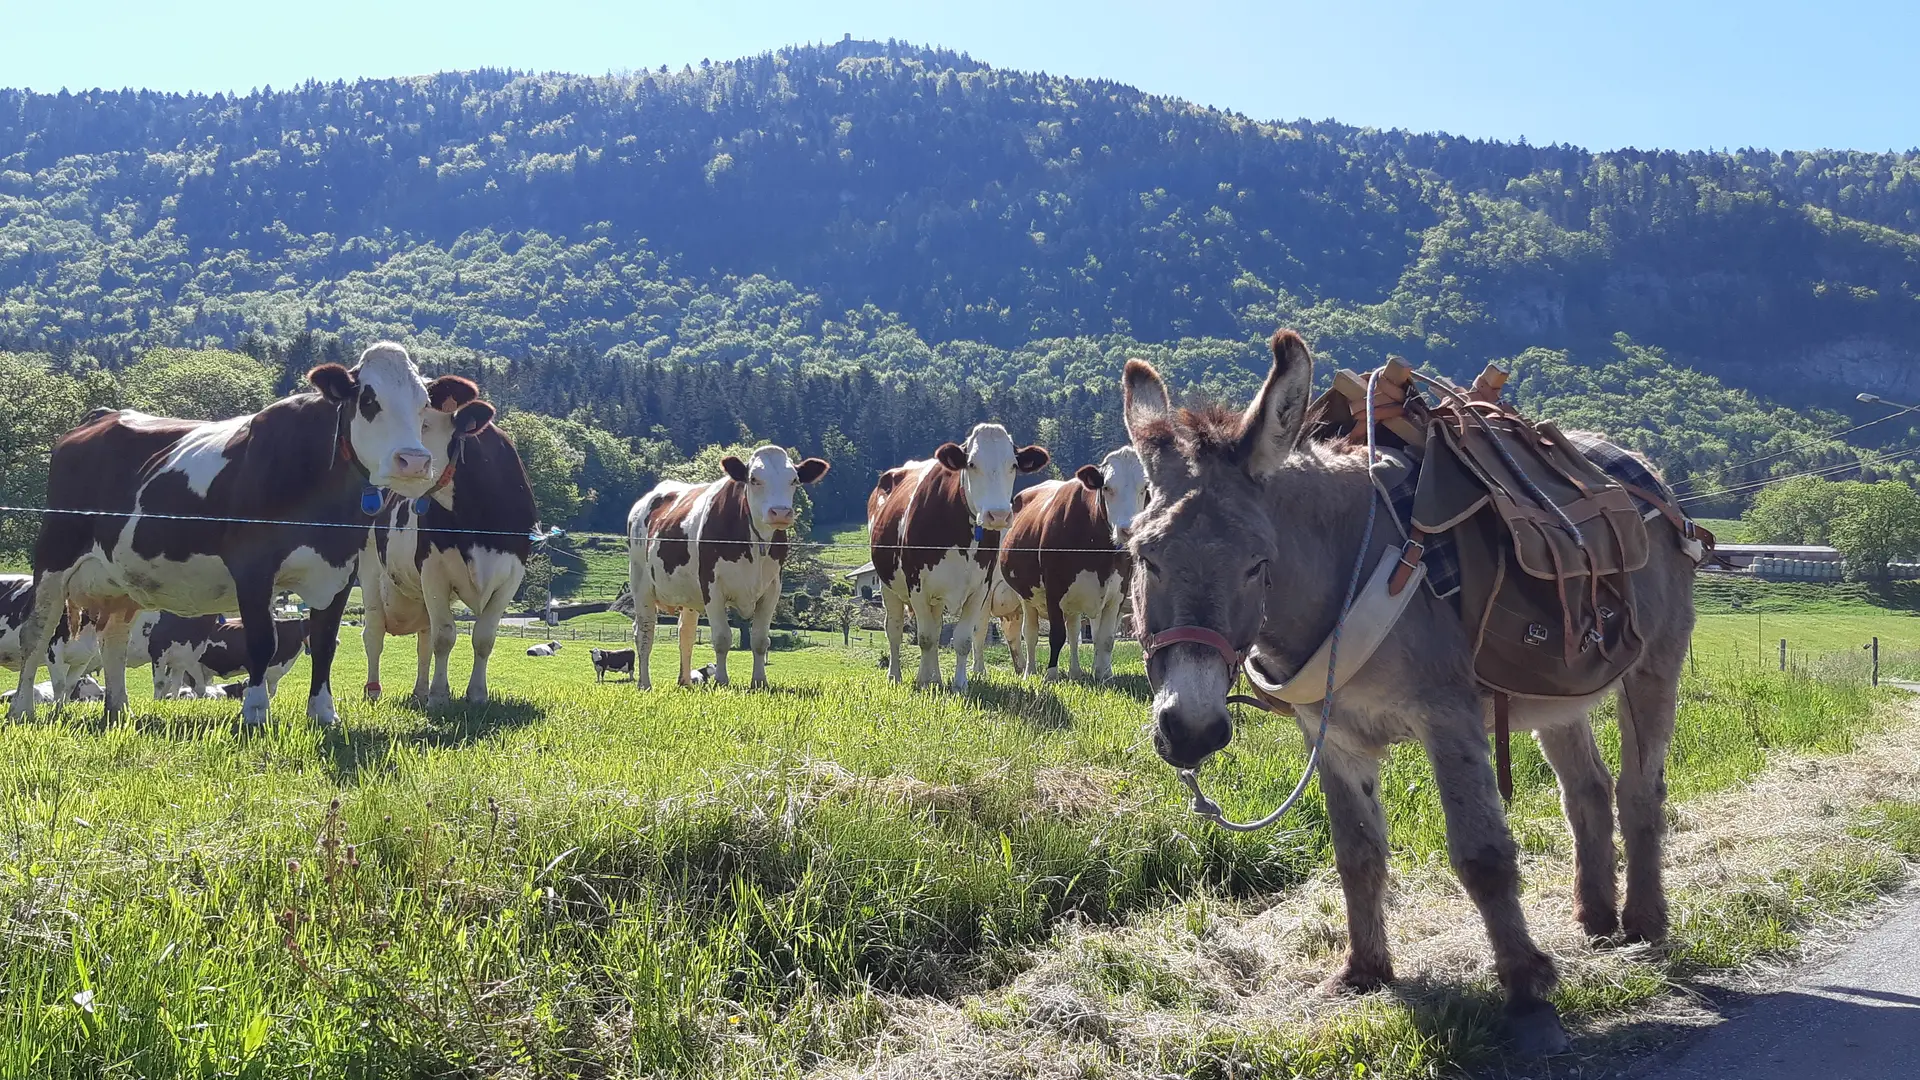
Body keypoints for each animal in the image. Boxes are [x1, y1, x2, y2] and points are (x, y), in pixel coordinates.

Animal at [11, 336, 491, 722]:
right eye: (369, 399)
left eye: (424, 404)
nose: (414, 461)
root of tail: (100, 416)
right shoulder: (254, 568)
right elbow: (263, 640)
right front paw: (256, 710)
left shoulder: (339, 573)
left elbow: (325, 643)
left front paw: (323, 712)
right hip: (55, 555)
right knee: (38, 632)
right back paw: (23, 708)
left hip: (122, 578)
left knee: (111, 640)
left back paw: (118, 709)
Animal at [357, 413, 526, 707]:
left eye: (423, 423)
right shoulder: (433, 571)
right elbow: (445, 637)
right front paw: (439, 696)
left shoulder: (512, 577)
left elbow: (484, 637)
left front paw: (477, 694)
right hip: (370, 575)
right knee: (374, 635)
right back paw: (374, 691)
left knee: (423, 640)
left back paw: (420, 691)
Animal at [625, 443, 829, 680]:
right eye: (754, 479)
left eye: (794, 480)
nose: (780, 512)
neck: (755, 544)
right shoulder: (711, 587)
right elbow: (722, 638)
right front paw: (722, 680)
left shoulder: (772, 588)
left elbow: (760, 640)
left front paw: (759, 681)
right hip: (641, 583)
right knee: (644, 633)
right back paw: (645, 683)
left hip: (688, 594)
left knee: (685, 633)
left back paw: (685, 682)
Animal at [871, 422, 1052, 684]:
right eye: (972, 463)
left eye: (1013, 465)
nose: (998, 515)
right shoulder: (917, 587)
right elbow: (925, 638)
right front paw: (923, 682)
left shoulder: (979, 590)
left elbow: (963, 639)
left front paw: (959, 684)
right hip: (888, 586)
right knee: (895, 630)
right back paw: (896, 675)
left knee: (936, 628)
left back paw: (936, 677)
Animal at [998, 441, 1144, 676]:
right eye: (1107, 487)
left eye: (1144, 488)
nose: (1128, 530)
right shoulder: (1053, 587)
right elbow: (1056, 636)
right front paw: (1051, 675)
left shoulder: (1118, 593)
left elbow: (1105, 639)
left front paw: (1102, 676)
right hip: (1025, 596)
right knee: (1030, 633)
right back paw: (1030, 671)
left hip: (1073, 600)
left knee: (1074, 632)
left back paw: (1075, 672)